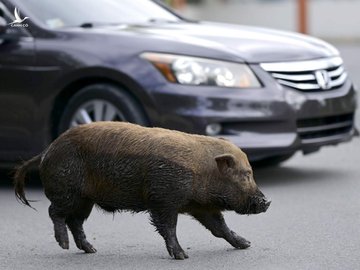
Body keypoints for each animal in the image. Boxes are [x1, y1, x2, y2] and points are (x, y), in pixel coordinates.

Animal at [14, 122, 270, 260]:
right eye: (246, 175)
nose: (267, 202)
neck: (202, 171)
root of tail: (47, 151)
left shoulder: (201, 206)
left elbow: (220, 227)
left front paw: (246, 244)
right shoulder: (163, 198)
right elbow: (168, 228)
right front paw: (182, 257)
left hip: (85, 200)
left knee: (75, 221)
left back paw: (92, 250)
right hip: (67, 191)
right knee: (54, 212)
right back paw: (65, 245)